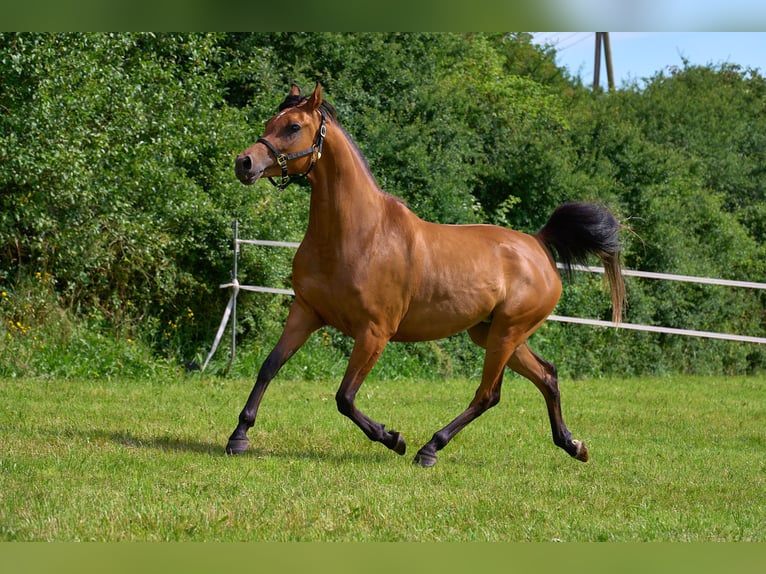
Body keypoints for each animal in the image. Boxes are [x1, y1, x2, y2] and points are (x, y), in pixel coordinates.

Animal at [229, 83, 625, 467]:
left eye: (294, 127)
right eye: (270, 122)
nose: (244, 163)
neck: (357, 235)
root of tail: (539, 245)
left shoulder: (374, 333)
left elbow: (345, 396)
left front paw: (393, 438)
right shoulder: (306, 312)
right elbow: (269, 367)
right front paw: (239, 436)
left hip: (507, 333)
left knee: (488, 394)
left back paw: (430, 448)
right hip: (493, 333)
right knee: (547, 376)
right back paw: (573, 445)